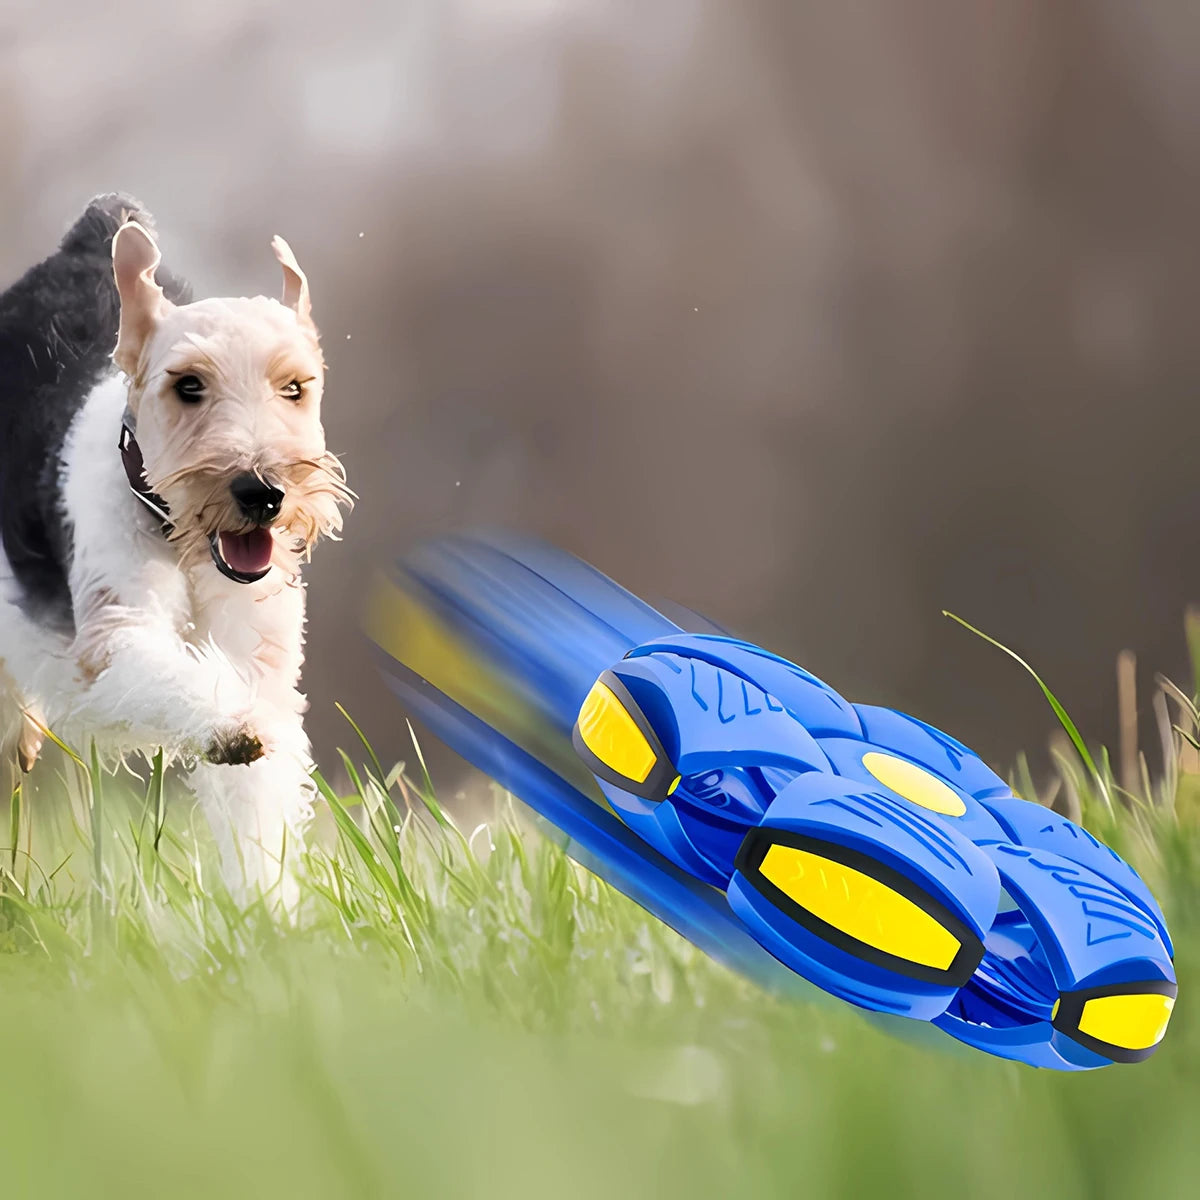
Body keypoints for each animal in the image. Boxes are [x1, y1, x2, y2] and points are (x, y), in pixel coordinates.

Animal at [0, 194, 352, 902]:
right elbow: (181, 682)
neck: (179, 537)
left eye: (295, 387)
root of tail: (97, 225)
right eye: (188, 385)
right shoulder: (114, 636)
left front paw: (268, 911)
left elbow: (256, 803)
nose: (262, 492)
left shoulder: (258, 656)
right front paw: (232, 728)